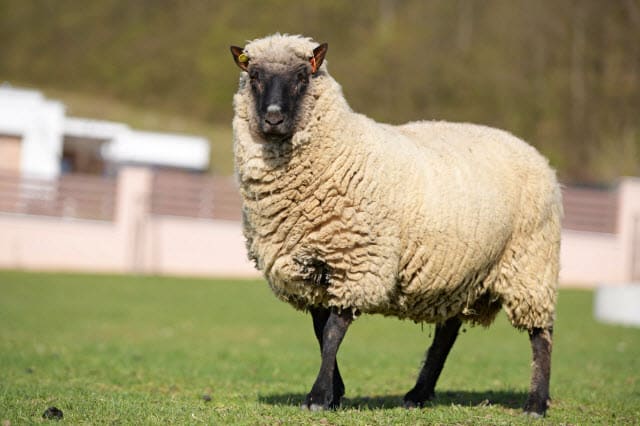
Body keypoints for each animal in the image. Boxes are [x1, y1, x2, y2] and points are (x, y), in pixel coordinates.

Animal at [229, 32, 560, 416]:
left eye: (302, 77)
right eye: (254, 76)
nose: (273, 118)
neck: (339, 149)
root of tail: (537, 156)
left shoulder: (358, 263)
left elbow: (332, 332)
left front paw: (318, 397)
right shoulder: (309, 269)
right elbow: (319, 330)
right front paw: (335, 391)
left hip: (531, 264)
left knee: (541, 335)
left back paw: (535, 402)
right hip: (459, 271)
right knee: (447, 334)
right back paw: (419, 393)